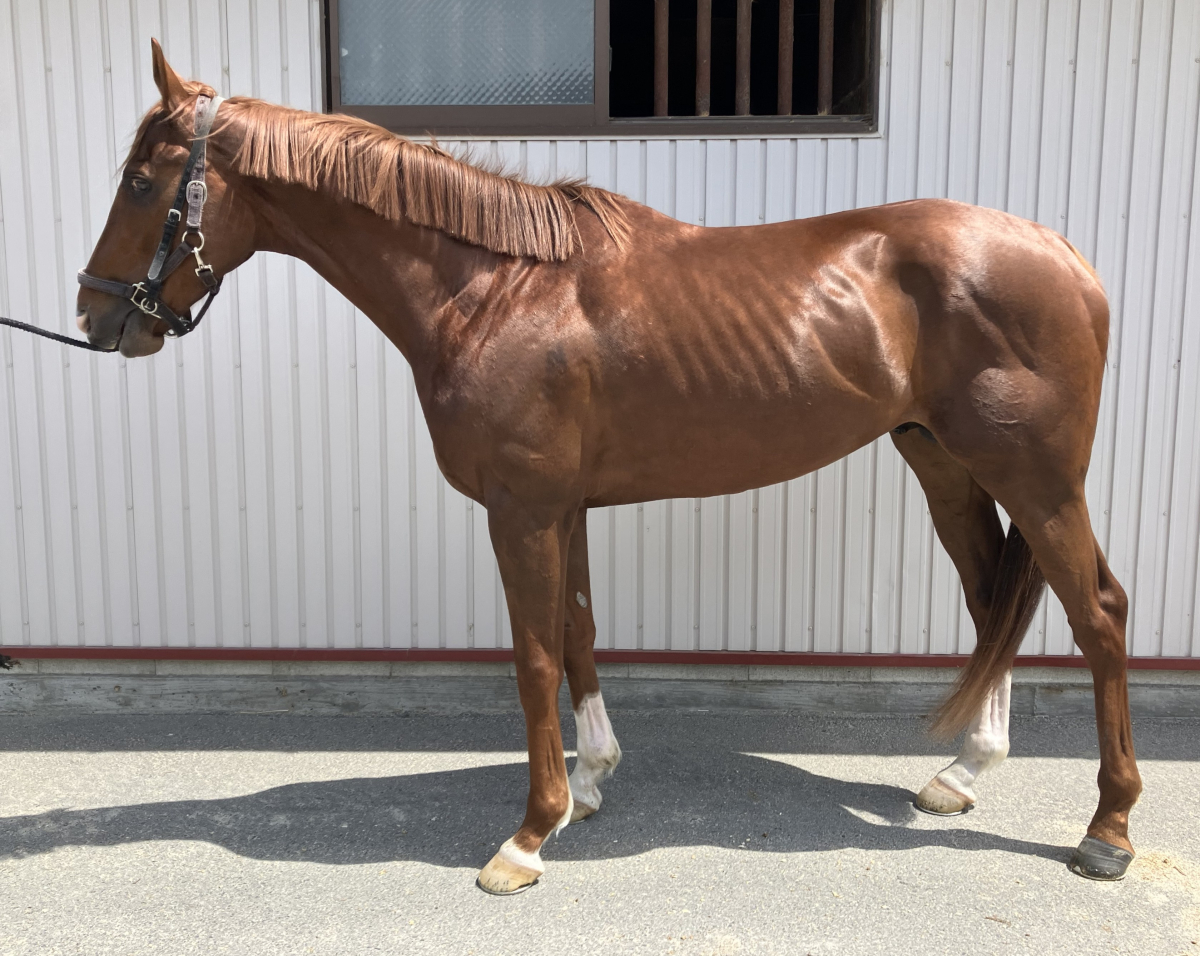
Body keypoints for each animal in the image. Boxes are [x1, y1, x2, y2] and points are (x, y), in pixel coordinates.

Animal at [75, 40, 1140, 893]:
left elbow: (534, 655)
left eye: (140, 183)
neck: (495, 289)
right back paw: (962, 773)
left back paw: (1109, 828)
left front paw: (527, 836)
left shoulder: (520, 509)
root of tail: (1065, 256)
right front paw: (588, 784)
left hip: (1039, 479)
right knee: (996, 600)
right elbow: (580, 633)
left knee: (1096, 613)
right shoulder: (566, 506)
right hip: (949, 464)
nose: (95, 316)